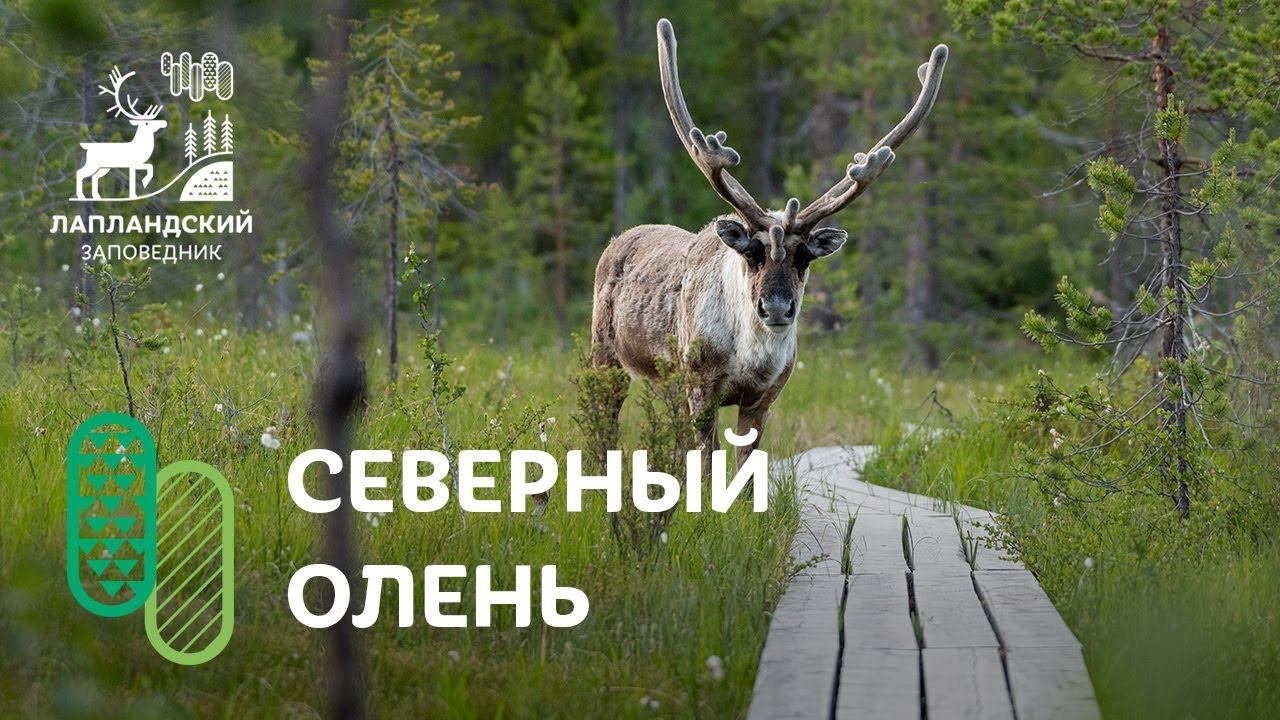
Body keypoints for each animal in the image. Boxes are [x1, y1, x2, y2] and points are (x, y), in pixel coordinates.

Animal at [75, 67, 167, 201]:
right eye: (146, 123)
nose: (163, 123)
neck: (141, 147)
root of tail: (87, 146)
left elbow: (148, 169)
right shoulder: (133, 163)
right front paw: (142, 185)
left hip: (104, 167)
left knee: (94, 177)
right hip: (93, 163)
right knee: (80, 173)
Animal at [590, 18, 948, 465]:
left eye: (805, 257)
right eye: (751, 253)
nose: (776, 307)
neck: (750, 355)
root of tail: (618, 241)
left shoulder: (763, 398)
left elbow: (745, 468)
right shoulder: (700, 387)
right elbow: (706, 465)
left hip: (664, 387)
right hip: (605, 358)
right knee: (604, 427)